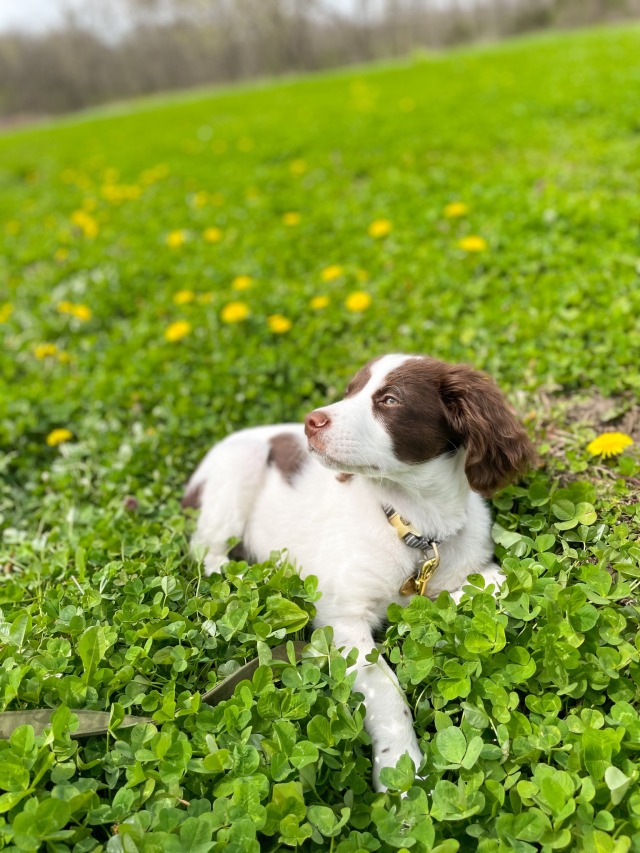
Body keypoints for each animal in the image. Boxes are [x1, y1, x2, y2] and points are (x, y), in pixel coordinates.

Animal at [181, 352, 536, 784]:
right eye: (350, 391)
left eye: (390, 400)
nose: (311, 421)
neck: (414, 525)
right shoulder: (343, 617)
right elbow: (383, 685)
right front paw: (401, 770)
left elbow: (501, 581)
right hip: (234, 480)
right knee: (209, 553)